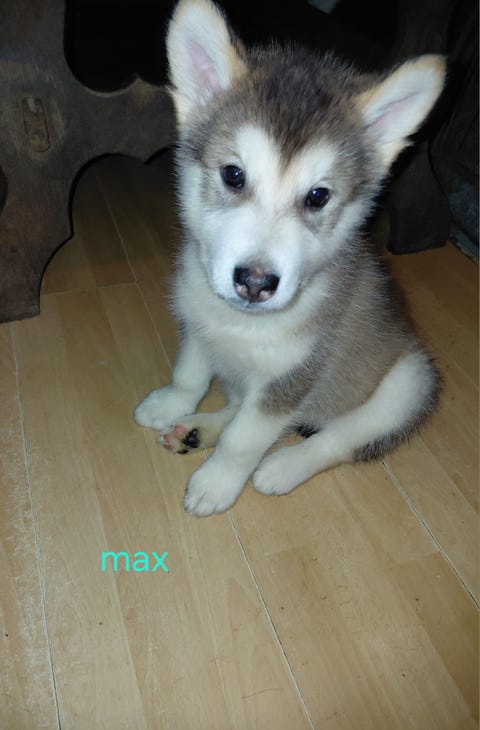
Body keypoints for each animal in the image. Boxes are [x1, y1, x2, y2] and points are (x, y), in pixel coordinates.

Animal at [134, 0, 445, 516]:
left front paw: (217, 482)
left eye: (318, 196)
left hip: (409, 382)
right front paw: (171, 404)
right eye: (233, 174)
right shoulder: (199, 325)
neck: (242, 325)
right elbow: (190, 375)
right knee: (238, 404)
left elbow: (246, 439)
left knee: (340, 439)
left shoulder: (293, 378)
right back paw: (197, 429)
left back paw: (283, 466)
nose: (256, 282)